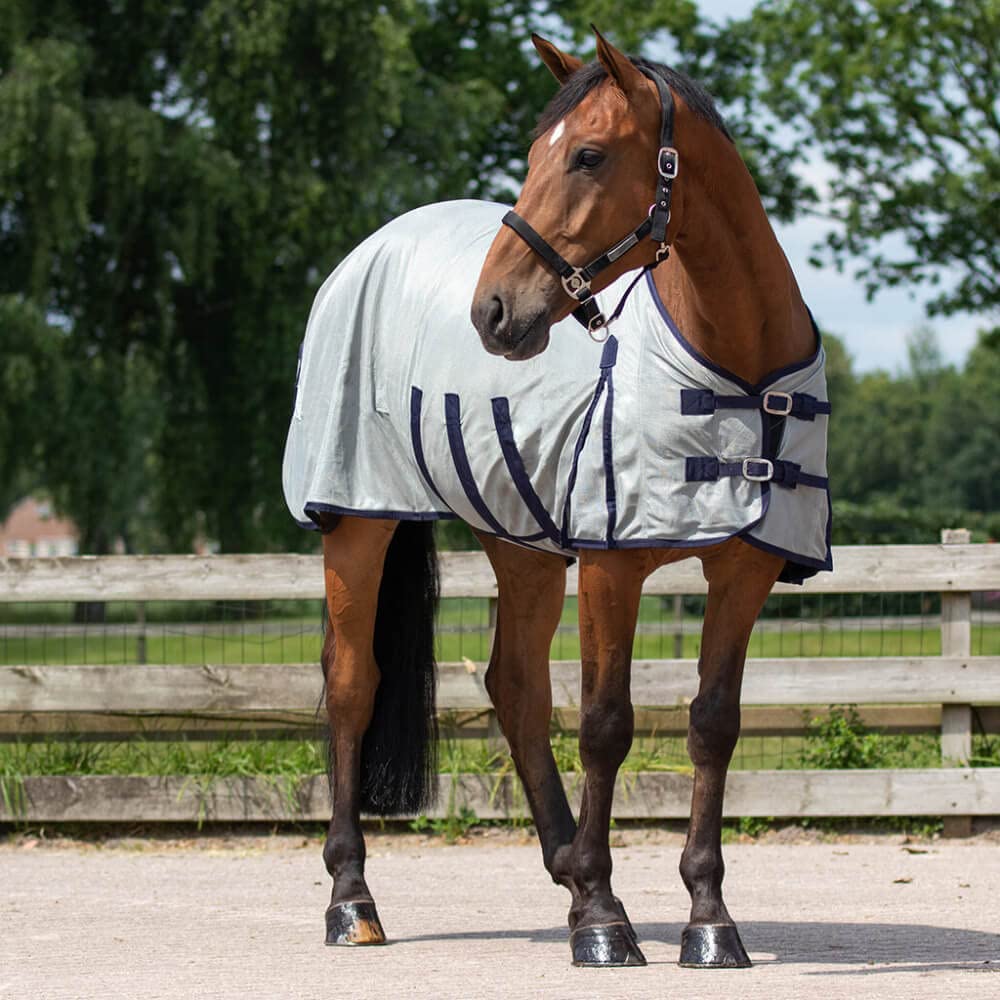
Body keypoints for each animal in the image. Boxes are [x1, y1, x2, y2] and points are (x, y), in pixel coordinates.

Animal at [283, 27, 831, 970]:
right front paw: (606, 921)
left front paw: (706, 917)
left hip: (523, 543)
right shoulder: (614, 566)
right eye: (537, 152)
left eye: (587, 154)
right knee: (353, 683)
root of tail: (373, 248)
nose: (494, 312)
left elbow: (712, 723)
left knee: (516, 687)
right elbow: (607, 723)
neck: (740, 363)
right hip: (359, 521)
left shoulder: (744, 570)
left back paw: (568, 869)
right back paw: (353, 900)